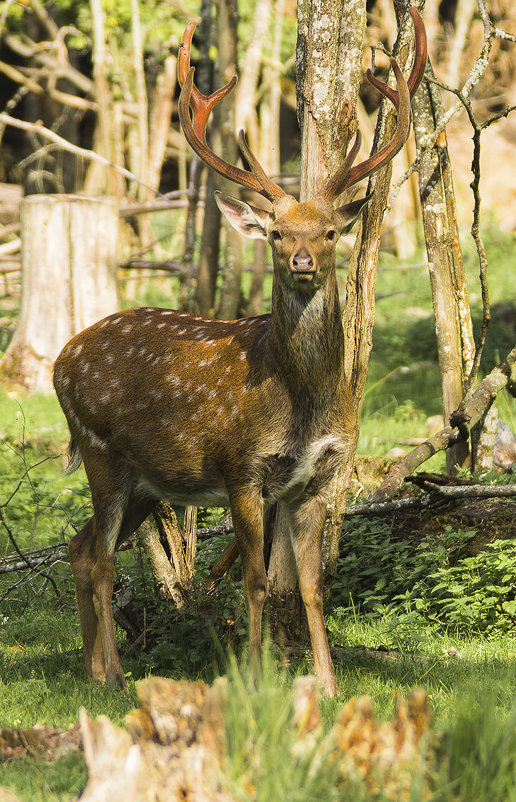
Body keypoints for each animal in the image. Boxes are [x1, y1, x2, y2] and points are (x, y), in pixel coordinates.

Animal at [54, 9, 428, 692]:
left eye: (329, 231)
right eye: (276, 233)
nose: (302, 261)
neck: (302, 403)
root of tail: (58, 360)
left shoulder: (320, 476)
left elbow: (310, 585)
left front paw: (328, 685)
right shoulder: (241, 468)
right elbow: (254, 580)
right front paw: (255, 677)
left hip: (147, 481)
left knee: (80, 544)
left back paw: (92, 670)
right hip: (100, 450)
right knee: (100, 555)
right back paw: (115, 674)